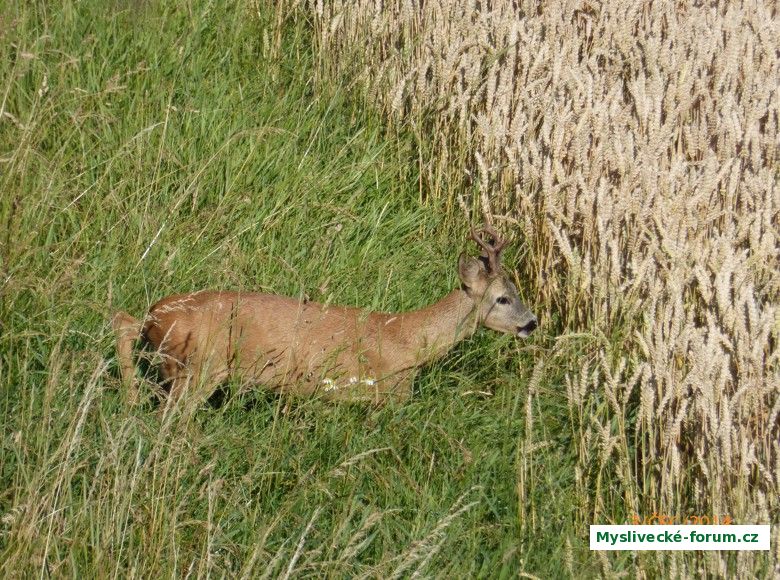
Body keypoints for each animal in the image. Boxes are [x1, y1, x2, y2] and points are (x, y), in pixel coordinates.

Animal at [111, 225, 537, 408]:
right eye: (502, 298)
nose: (532, 322)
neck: (408, 337)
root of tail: (156, 317)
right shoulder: (388, 392)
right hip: (201, 368)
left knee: (122, 320)